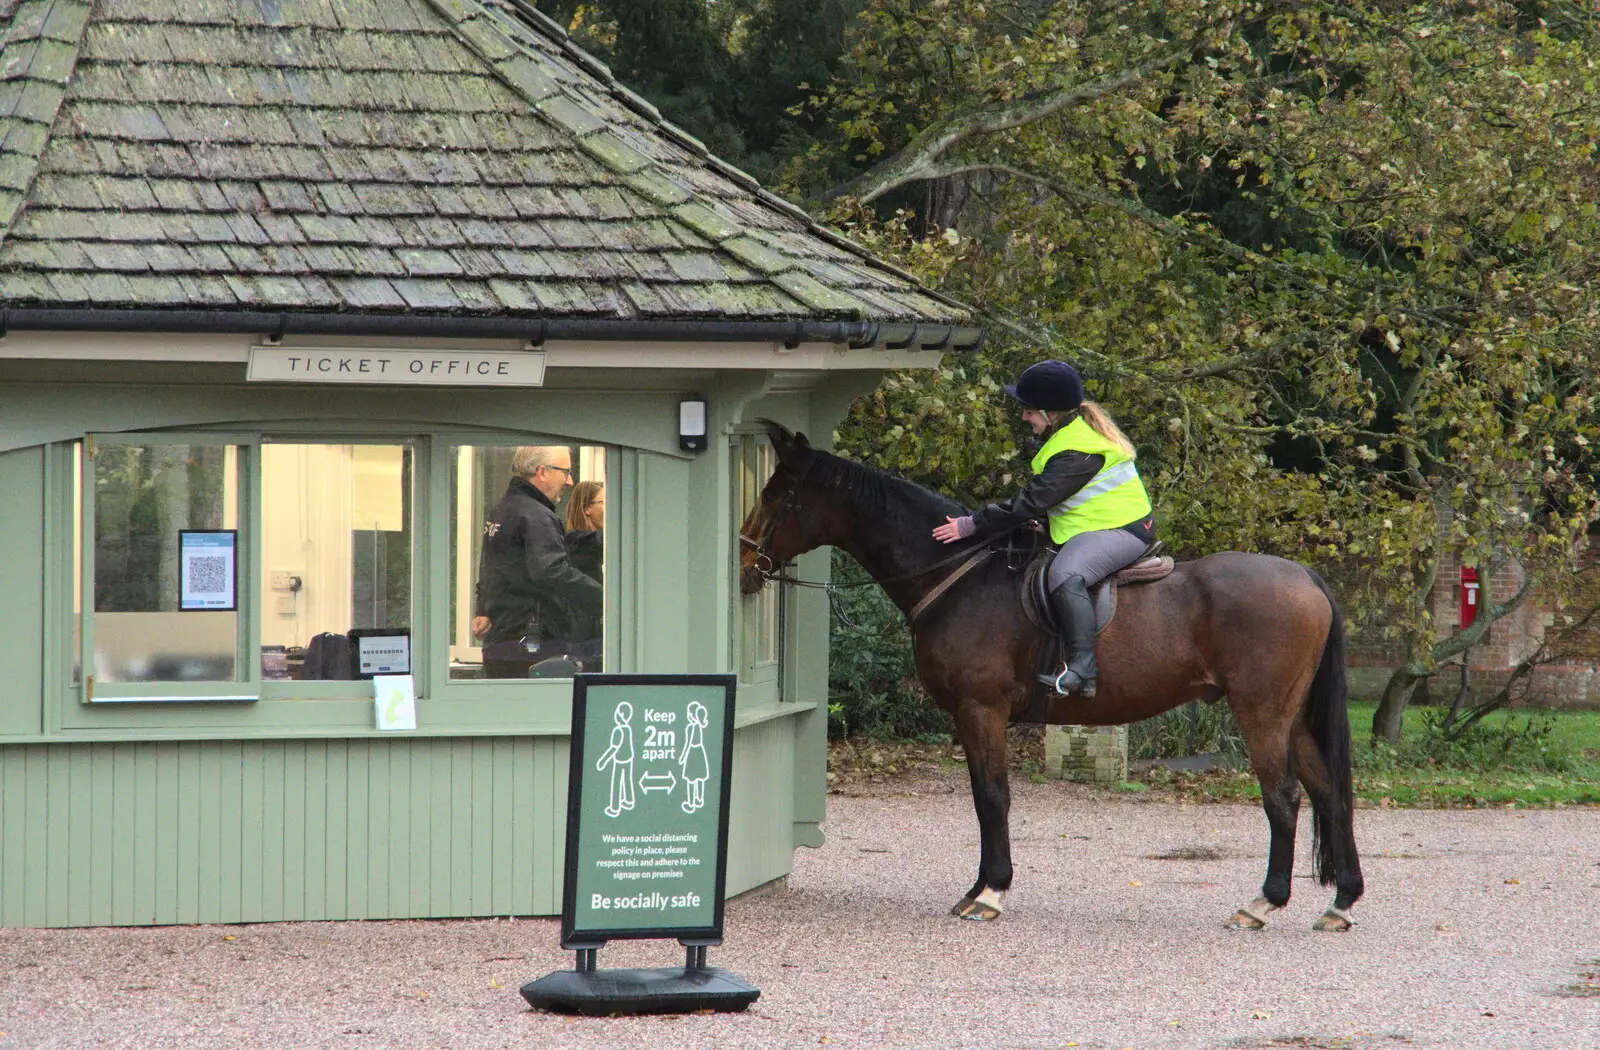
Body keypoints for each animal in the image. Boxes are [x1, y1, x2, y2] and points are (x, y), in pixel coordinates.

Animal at [736, 432, 1363, 928]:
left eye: (777, 496)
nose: (743, 566)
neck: (961, 577)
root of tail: (1306, 578)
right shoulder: (972, 716)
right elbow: (983, 797)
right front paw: (979, 887)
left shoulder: (980, 709)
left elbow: (992, 797)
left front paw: (990, 893)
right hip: (1292, 715)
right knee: (1328, 791)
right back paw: (1341, 902)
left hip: (1261, 711)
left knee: (1283, 797)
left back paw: (1263, 903)